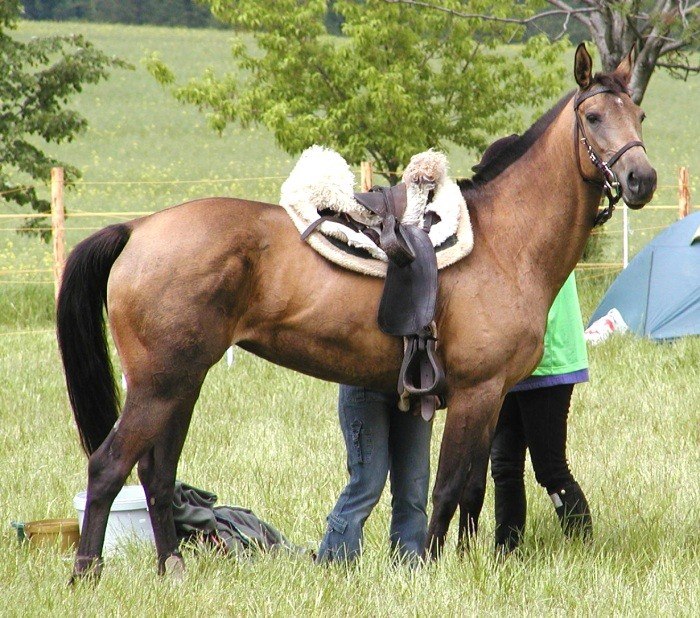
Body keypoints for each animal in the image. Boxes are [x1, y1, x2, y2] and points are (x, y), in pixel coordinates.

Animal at [56, 43, 656, 576]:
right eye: (595, 116)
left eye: (640, 114)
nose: (642, 179)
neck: (503, 240)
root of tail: (139, 229)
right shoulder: (477, 392)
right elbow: (448, 488)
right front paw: (430, 569)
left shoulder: (489, 397)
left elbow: (471, 489)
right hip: (160, 384)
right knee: (108, 467)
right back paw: (86, 573)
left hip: (182, 382)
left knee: (156, 475)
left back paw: (172, 568)